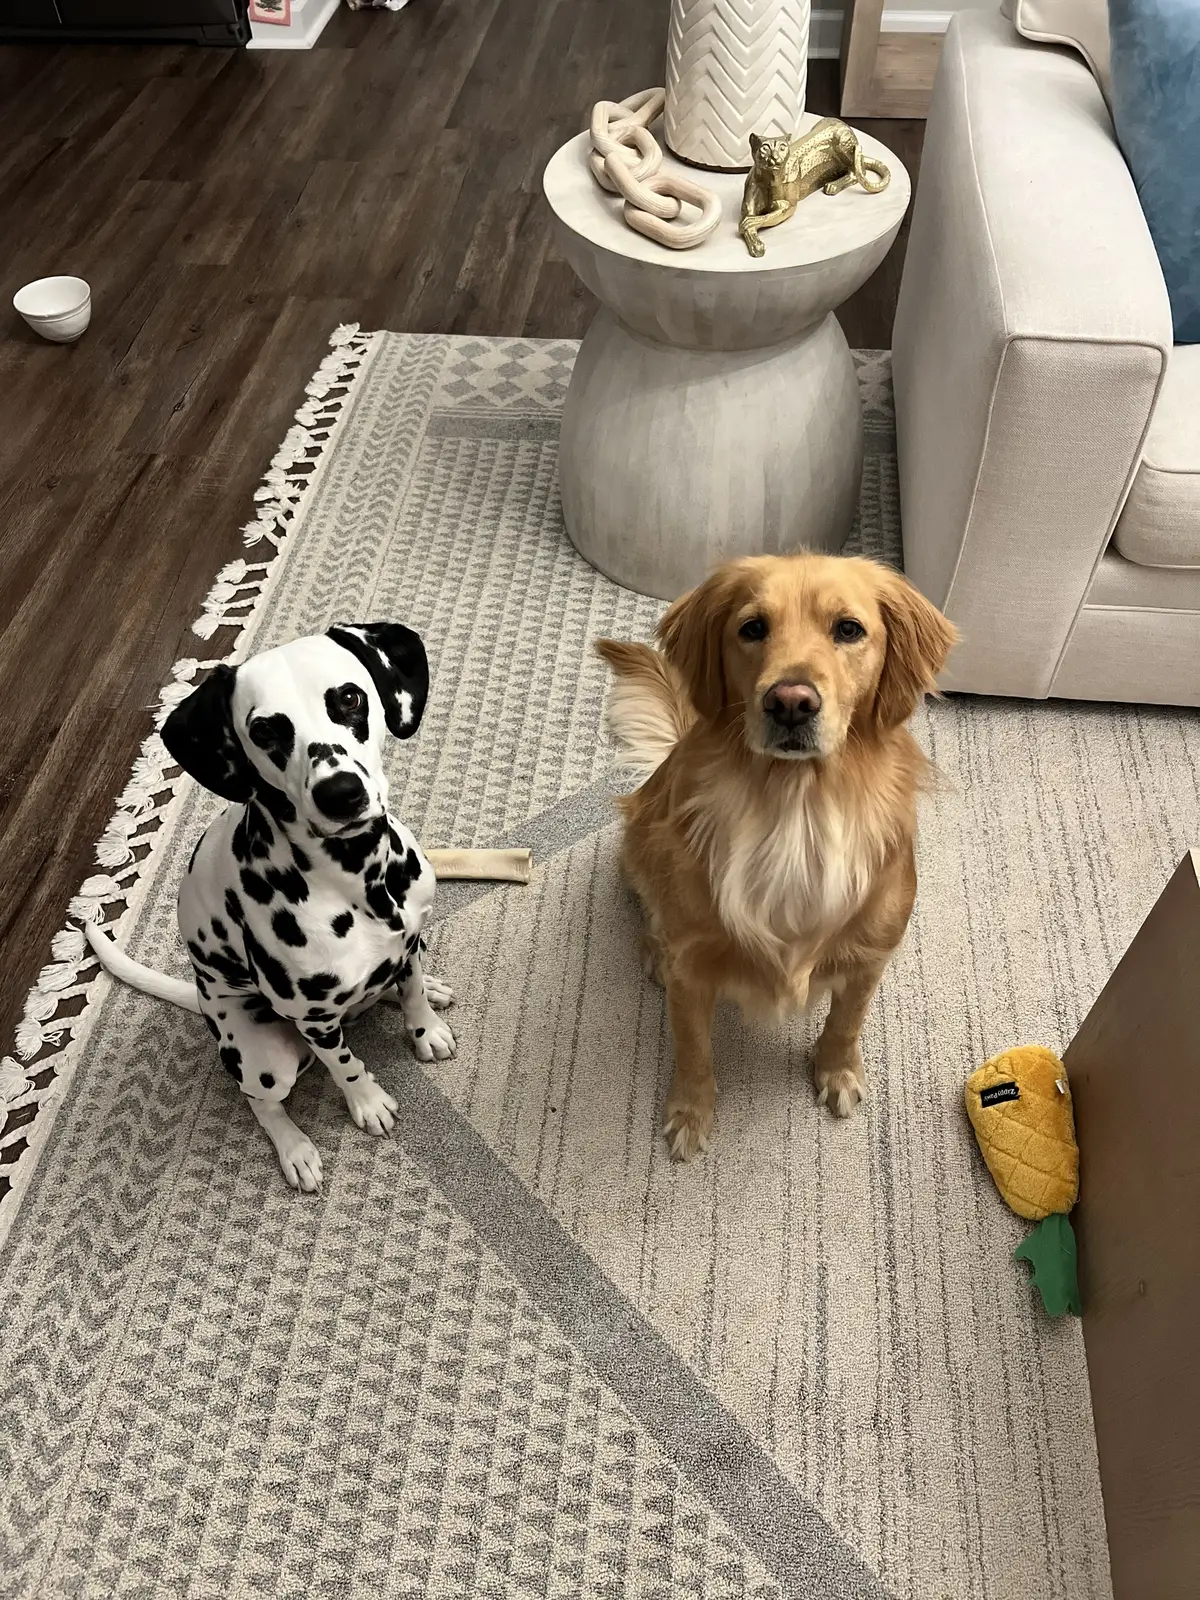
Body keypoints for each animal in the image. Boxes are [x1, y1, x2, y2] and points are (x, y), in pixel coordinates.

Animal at [85, 620, 454, 1190]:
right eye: (266, 732)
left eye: (349, 698)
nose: (341, 793)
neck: (359, 877)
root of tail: (202, 1003)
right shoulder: (316, 1018)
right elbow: (344, 1065)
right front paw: (367, 1102)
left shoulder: (410, 938)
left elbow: (411, 992)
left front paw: (425, 1027)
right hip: (266, 1057)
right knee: (259, 1101)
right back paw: (294, 1148)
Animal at [598, 553, 960, 1164]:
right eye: (752, 628)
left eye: (849, 629)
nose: (791, 701)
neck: (796, 808)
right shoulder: (693, 967)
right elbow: (693, 1046)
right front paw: (691, 1112)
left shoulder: (870, 956)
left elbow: (846, 1021)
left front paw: (836, 1072)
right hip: (642, 843)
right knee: (650, 909)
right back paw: (652, 950)